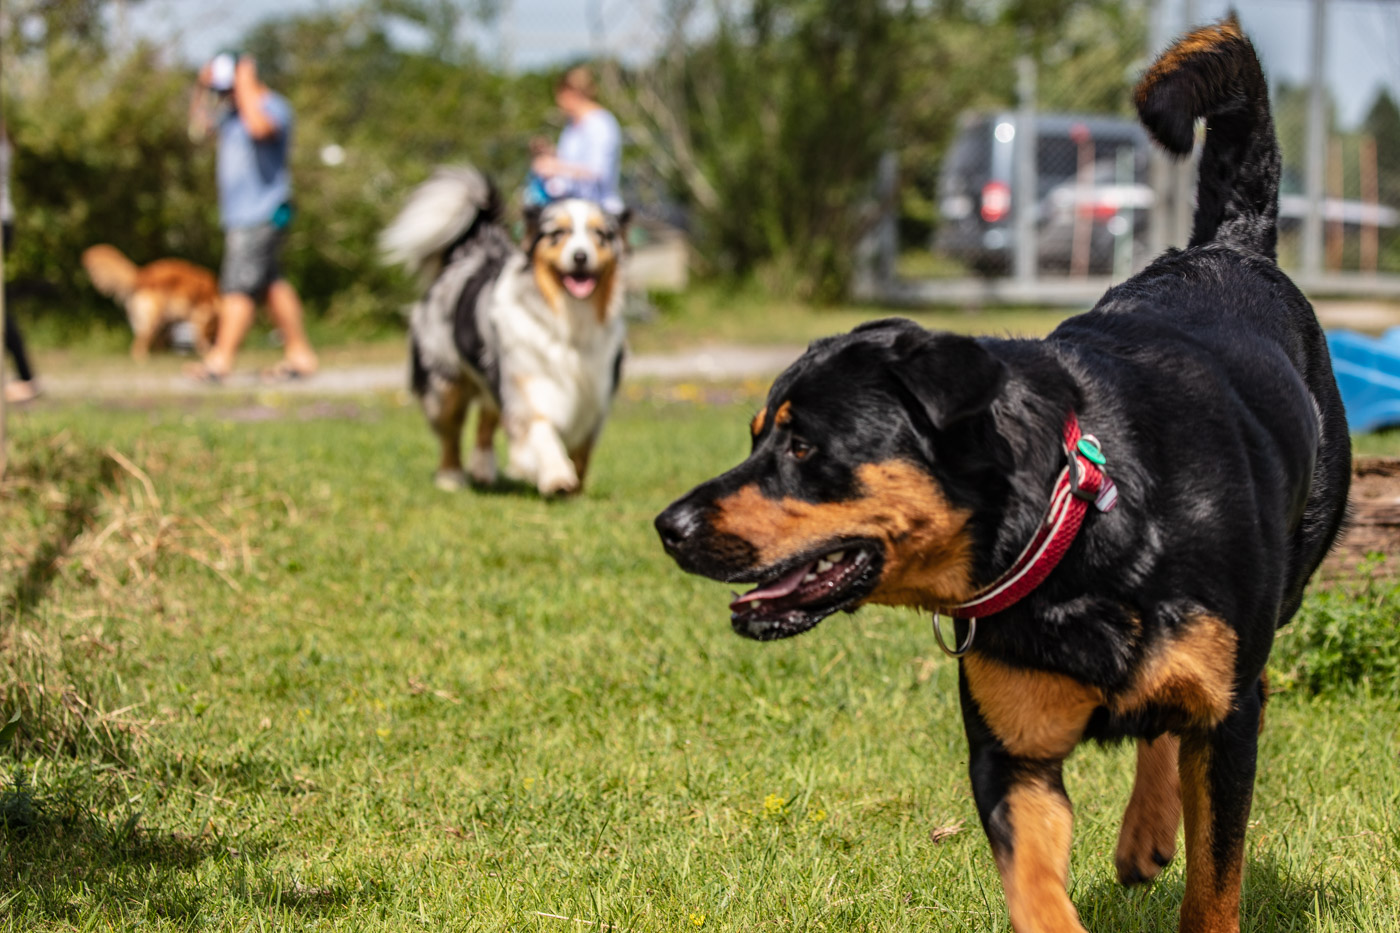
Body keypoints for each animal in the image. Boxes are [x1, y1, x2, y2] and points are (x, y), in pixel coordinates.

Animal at [82, 240, 219, 357]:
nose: (214, 341)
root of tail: (140, 276)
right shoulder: (201, 315)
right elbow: (200, 336)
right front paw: (205, 351)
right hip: (153, 316)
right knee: (139, 343)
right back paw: (143, 359)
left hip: (158, 317)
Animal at [658, 19, 1355, 930]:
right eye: (755, 439)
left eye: (803, 446)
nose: (668, 525)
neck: (1082, 523)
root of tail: (1226, 245)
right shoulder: (1011, 755)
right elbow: (1036, 886)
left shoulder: (1227, 724)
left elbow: (1215, 881)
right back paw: (1143, 832)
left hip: (1281, 597)